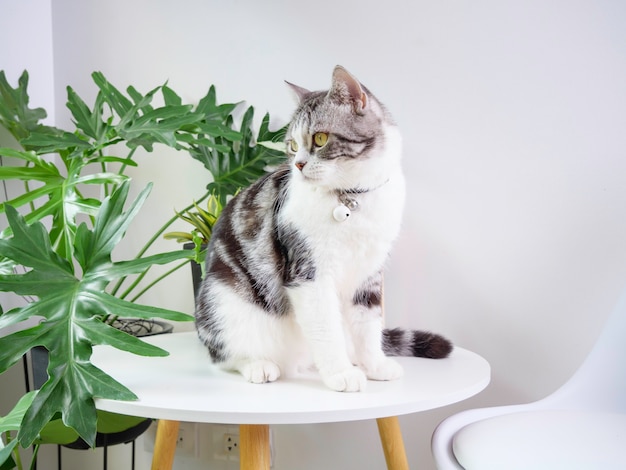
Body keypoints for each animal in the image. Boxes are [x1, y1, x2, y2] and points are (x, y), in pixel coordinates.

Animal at [194, 64, 448, 392]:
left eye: (320, 138)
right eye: (292, 145)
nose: (299, 165)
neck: (351, 197)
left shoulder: (369, 274)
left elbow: (368, 327)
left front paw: (374, 365)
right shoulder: (309, 274)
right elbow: (326, 329)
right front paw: (340, 373)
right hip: (222, 303)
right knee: (226, 356)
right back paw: (259, 365)